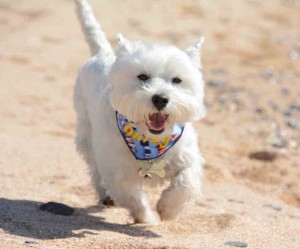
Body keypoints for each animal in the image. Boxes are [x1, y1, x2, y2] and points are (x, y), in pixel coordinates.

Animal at [74, 0, 205, 224]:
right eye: (142, 76)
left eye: (177, 80)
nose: (160, 99)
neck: (149, 142)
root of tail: (102, 54)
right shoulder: (118, 173)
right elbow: (133, 198)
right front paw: (147, 219)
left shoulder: (187, 157)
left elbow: (185, 182)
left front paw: (167, 210)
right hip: (86, 134)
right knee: (94, 167)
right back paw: (105, 195)